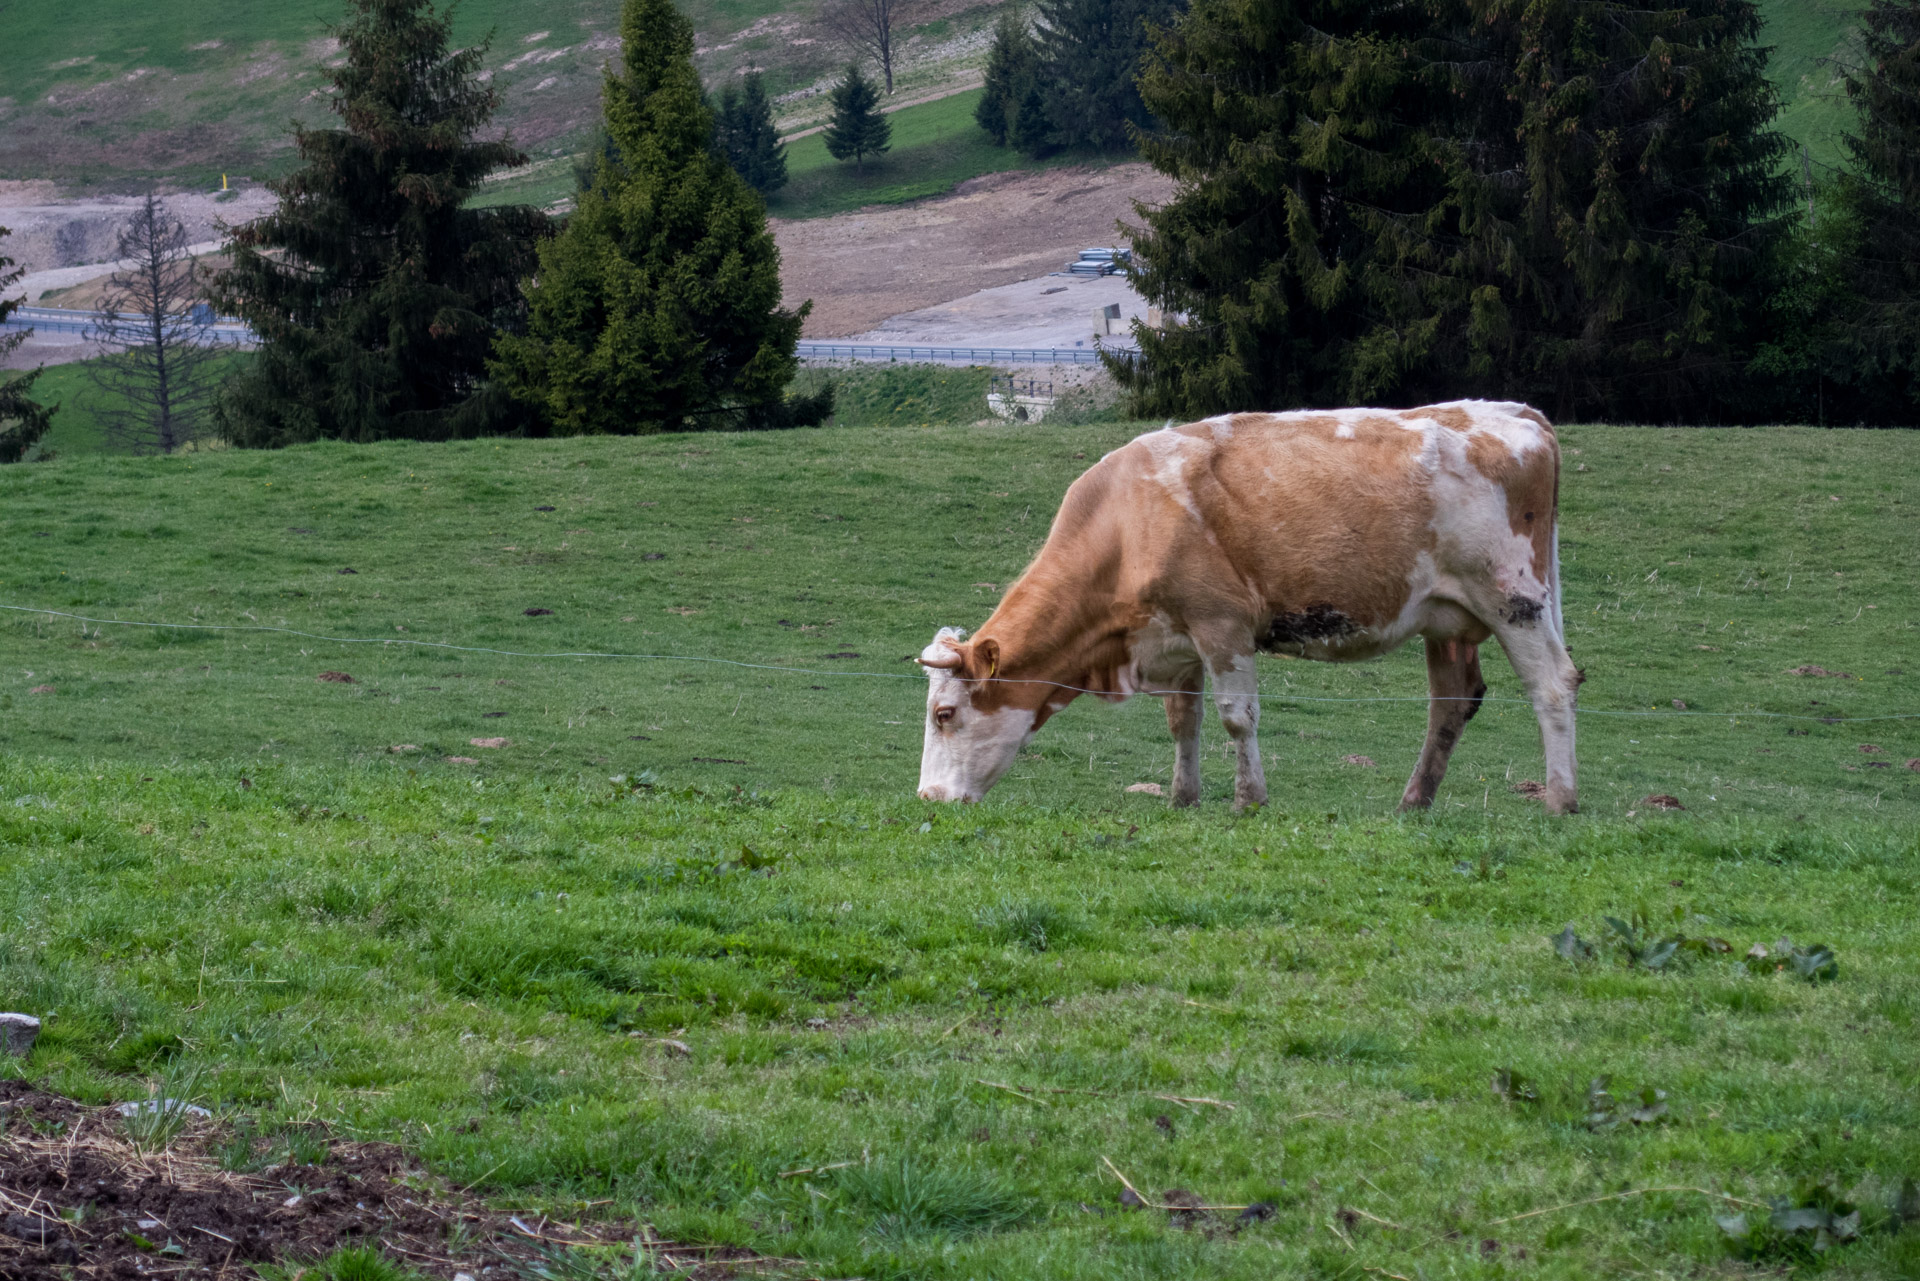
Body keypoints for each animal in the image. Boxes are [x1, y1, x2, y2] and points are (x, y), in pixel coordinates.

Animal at [921, 401, 1582, 810]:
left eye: (944, 714)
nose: (928, 799)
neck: (1127, 522)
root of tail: (1516, 412)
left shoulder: (1222, 624)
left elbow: (1237, 716)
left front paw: (1248, 800)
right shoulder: (1174, 637)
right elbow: (1182, 719)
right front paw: (1182, 797)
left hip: (1512, 599)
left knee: (1553, 684)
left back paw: (1560, 801)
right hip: (1447, 620)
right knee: (1450, 704)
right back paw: (1413, 803)